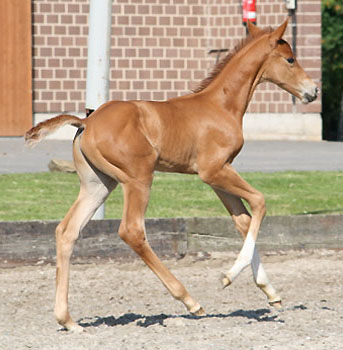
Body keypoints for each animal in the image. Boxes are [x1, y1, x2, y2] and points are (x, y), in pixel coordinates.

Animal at [25, 19, 318, 330]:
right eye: (290, 59)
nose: (313, 91)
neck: (221, 105)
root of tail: (86, 121)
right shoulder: (213, 171)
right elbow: (260, 202)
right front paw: (228, 277)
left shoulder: (220, 176)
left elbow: (243, 220)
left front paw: (270, 291)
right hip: (138, 179)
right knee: (132, 231)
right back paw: (191, 301)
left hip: (98, 184)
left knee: (67, 231)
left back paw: (67, 319)